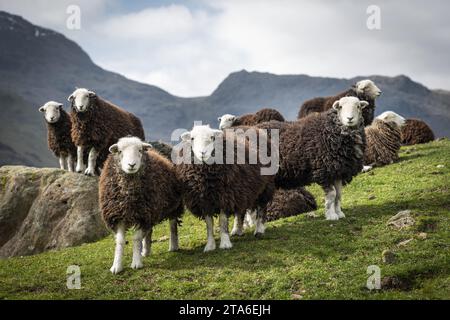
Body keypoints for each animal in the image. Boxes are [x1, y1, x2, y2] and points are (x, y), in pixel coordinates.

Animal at [99, 136, 184, 274]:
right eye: (120, 151)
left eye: (140, 150)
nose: (132, 165)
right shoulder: (119, 215)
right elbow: (120, 240)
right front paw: (116, 266)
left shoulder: (142, 214)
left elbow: (136, 238)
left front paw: (136, 263)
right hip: (150, 210)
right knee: (149, 230)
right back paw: (146, 251)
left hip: (172, 204)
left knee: (172, 225)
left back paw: (173, 246)